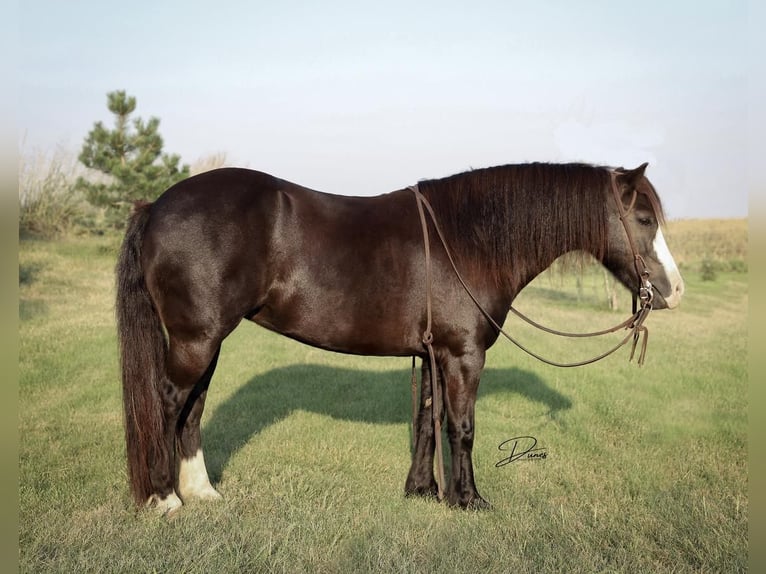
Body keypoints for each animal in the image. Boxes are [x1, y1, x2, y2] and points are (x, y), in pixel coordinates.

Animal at [115, 162, 684, 516]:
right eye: (643, 217)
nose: (674, 290)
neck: (471, 237)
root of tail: (156, 205)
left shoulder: (435, 353)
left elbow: (428, 421)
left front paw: (423, 491)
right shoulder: (463, 356)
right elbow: (462, 428)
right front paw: (469, 500)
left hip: (206, 342)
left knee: (192, 408)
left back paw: (201, 492)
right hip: (195, 340)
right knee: (167, 405)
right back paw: (165, 499)